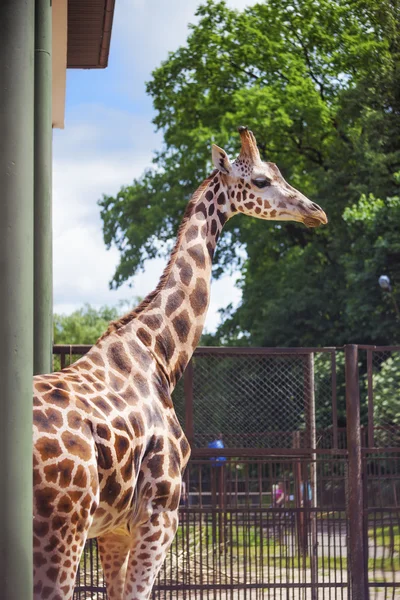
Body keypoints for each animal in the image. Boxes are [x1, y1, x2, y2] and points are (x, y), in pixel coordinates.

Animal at [33, 127, 328, 600]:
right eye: (261, 180)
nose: (316, 212)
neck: (158, 355)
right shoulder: (160, 517)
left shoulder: (114, 530)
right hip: (62, 530)